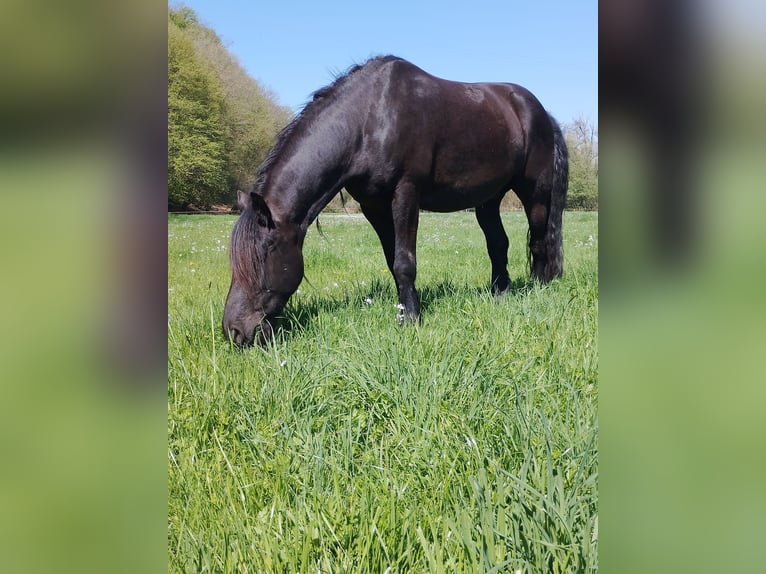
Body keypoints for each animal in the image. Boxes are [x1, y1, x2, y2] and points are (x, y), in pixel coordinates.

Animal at [223, 55, 568, 346]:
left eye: (260, 257)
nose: (234, 331)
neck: (369, 118)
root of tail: (540, 111)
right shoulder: (374, 206)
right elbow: (393, 262)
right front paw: (403, 309)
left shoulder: (405, 193)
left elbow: (404, 261)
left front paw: (411, 319)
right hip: (488, 200)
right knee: (498, 244)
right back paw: (499, 293)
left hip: (535, 193)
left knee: (539, 240)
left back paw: (540, 288)